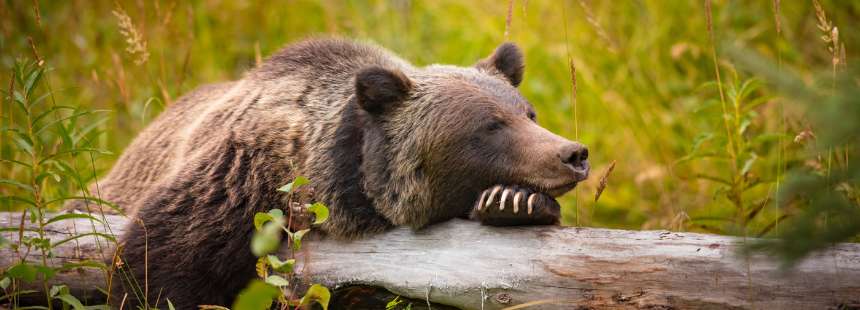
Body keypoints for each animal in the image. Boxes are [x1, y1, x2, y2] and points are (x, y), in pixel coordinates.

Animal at [74, 38, 588, 308]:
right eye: (490, 125)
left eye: (528, 113)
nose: (573, 153)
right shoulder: (237, 180)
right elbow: (160, 264)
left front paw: (514, 202)